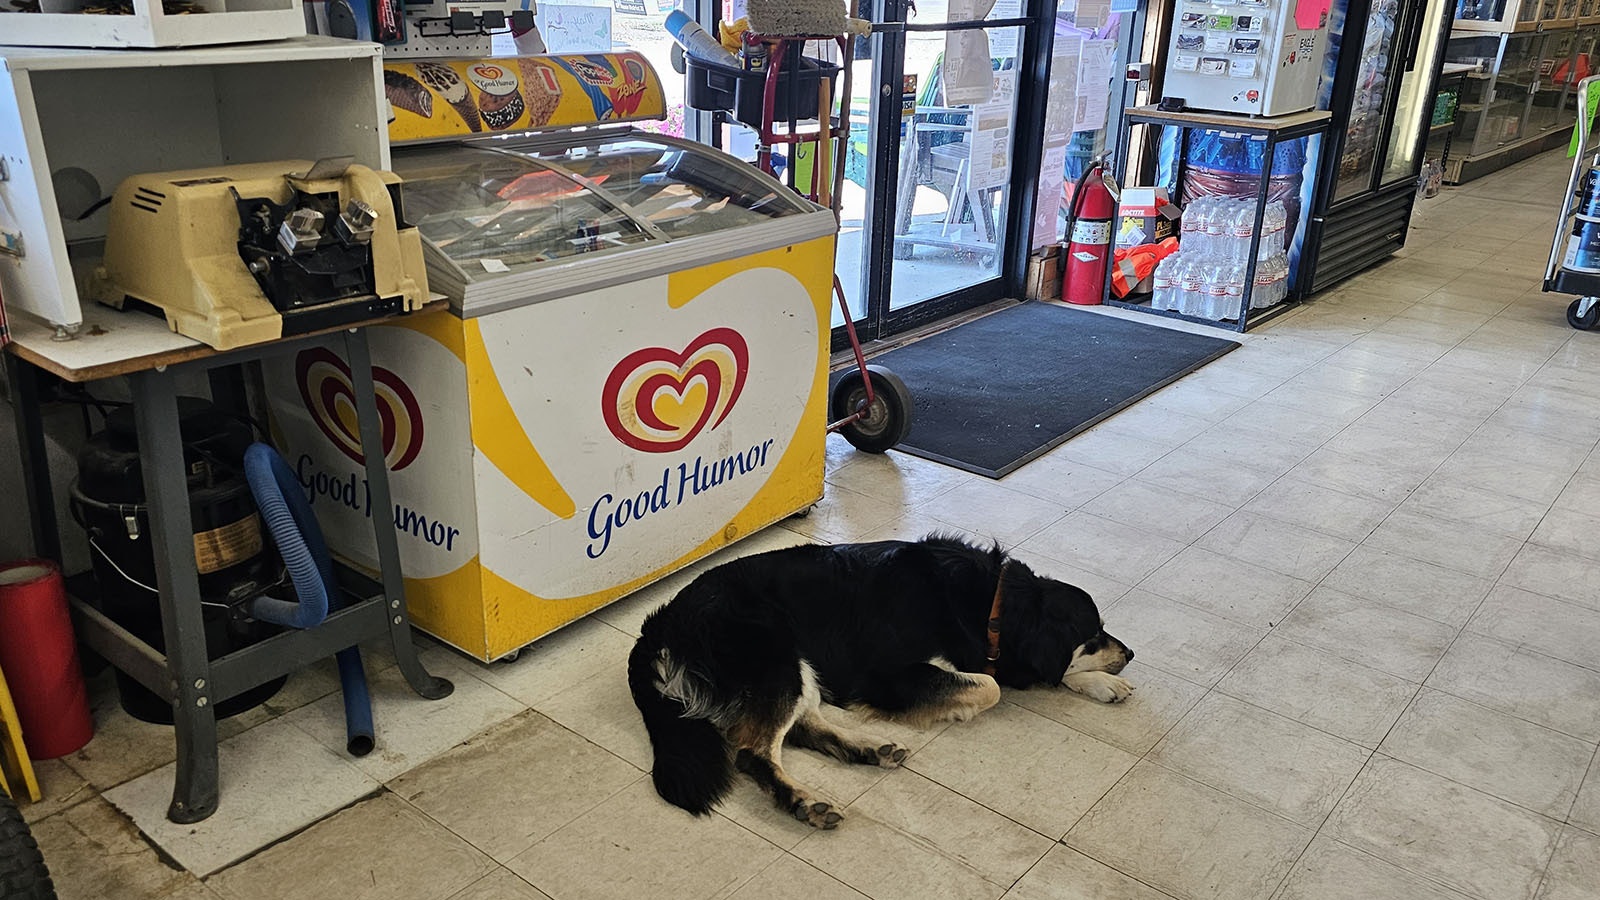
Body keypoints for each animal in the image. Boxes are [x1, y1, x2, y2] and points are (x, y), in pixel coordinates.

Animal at [627, 531, 1139, 826]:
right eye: (1093, 635)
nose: (1131, 653)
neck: (990, 603)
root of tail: (658, 624)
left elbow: (1030, 674)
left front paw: (1103, 684)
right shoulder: (885, 677)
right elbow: (989, 685)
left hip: (797, 666)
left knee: (798, 728)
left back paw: (867, 749)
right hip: (776, 656)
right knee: (754, 751)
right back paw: (802, 801)